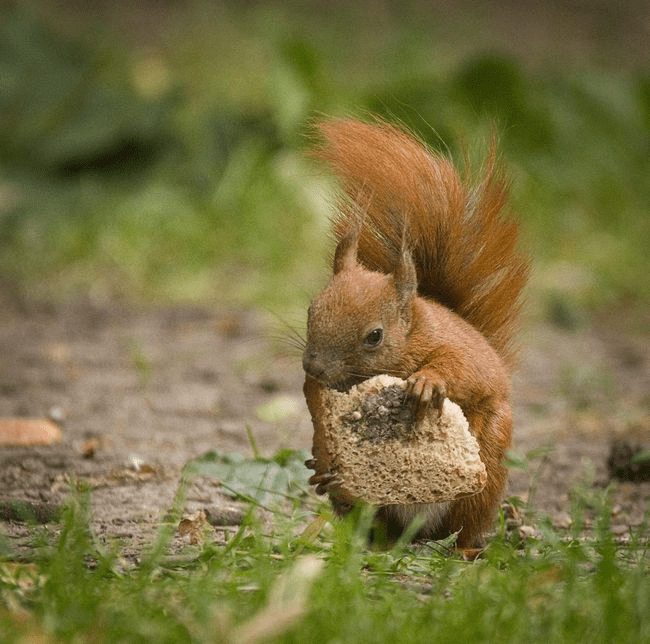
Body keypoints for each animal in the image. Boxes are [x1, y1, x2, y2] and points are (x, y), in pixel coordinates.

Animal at [298, 118, 528, 544]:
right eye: (311, 309)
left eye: (375, 336)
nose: (314, 367)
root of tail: (416, 534)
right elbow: (317, 411)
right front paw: (322, 453)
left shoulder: (454, 348)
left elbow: (461, 369)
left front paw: (427, 382)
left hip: (485, 471)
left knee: (465, 524)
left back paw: (464, 549)